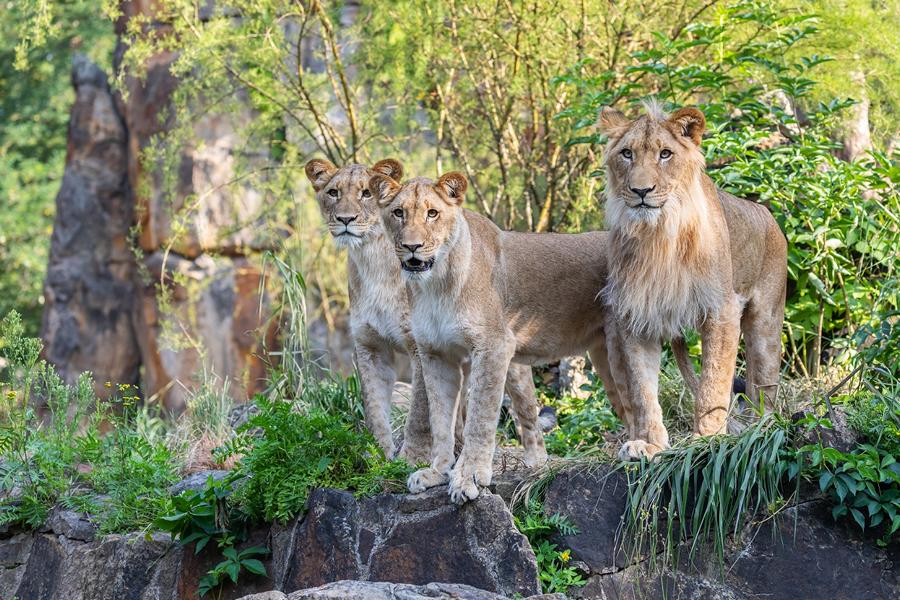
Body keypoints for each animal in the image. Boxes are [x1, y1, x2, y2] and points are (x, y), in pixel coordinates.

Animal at [304, 158, 548, 464]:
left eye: (366, 193)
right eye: (333, 192)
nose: (345, 219)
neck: (373, 263)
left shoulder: (419, 344)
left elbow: (420, 411)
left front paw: (412, 458)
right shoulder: (370, 346)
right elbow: (374, 407)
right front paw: (378, 457)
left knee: (527, 410)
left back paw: (536, 460)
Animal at [370, 171, 628, 504]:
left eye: (433, 213)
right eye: (398, 213)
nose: (411, 246)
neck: (435, 284)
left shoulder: (493, 346)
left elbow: (479, 417)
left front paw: (467, 477)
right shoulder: (435, 354)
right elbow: (440, 419)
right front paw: (436, 472)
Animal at [596, 104, 788, 460]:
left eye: (665, 154)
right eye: (627, 153)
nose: (641, 191)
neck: (658, 234)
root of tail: (767, 214)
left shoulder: (721, 309)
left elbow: (713, 382)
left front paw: (707, 439)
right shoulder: (636, 315)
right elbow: (643, 390)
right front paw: (650, 444)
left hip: (766, 323)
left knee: (764, 382)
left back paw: (761, 428)